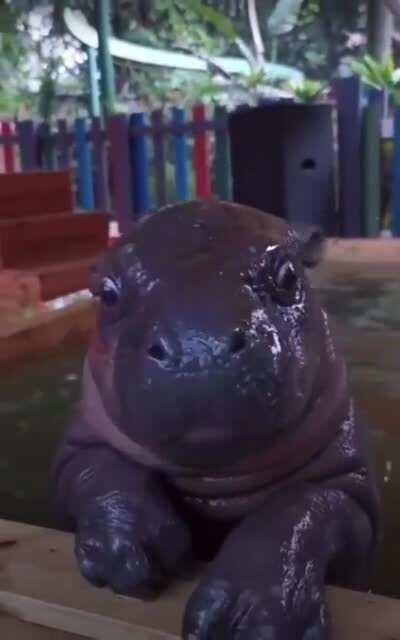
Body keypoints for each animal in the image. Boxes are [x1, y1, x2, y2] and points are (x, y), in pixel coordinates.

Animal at [52, 201, 379, 640]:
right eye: (106, 292)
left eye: (287, 274)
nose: (199, 347)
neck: (216, 479)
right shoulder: (77, 447)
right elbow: (100, 468)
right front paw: (128, 547)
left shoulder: (352, 489)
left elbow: (305, 505)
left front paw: (250, 615)